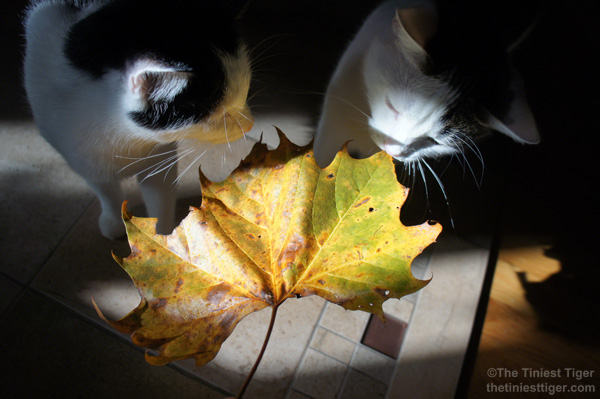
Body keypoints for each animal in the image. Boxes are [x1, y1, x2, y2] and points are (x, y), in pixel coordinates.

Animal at [24, 0, 254, 239]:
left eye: (244, 94)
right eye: (221, 115)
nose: (250, 125)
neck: (122, 136)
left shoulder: (159, 159)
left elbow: (160, 201)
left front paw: (164, 239)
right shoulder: (85, 159)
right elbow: (107, 191)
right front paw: (113, 220)